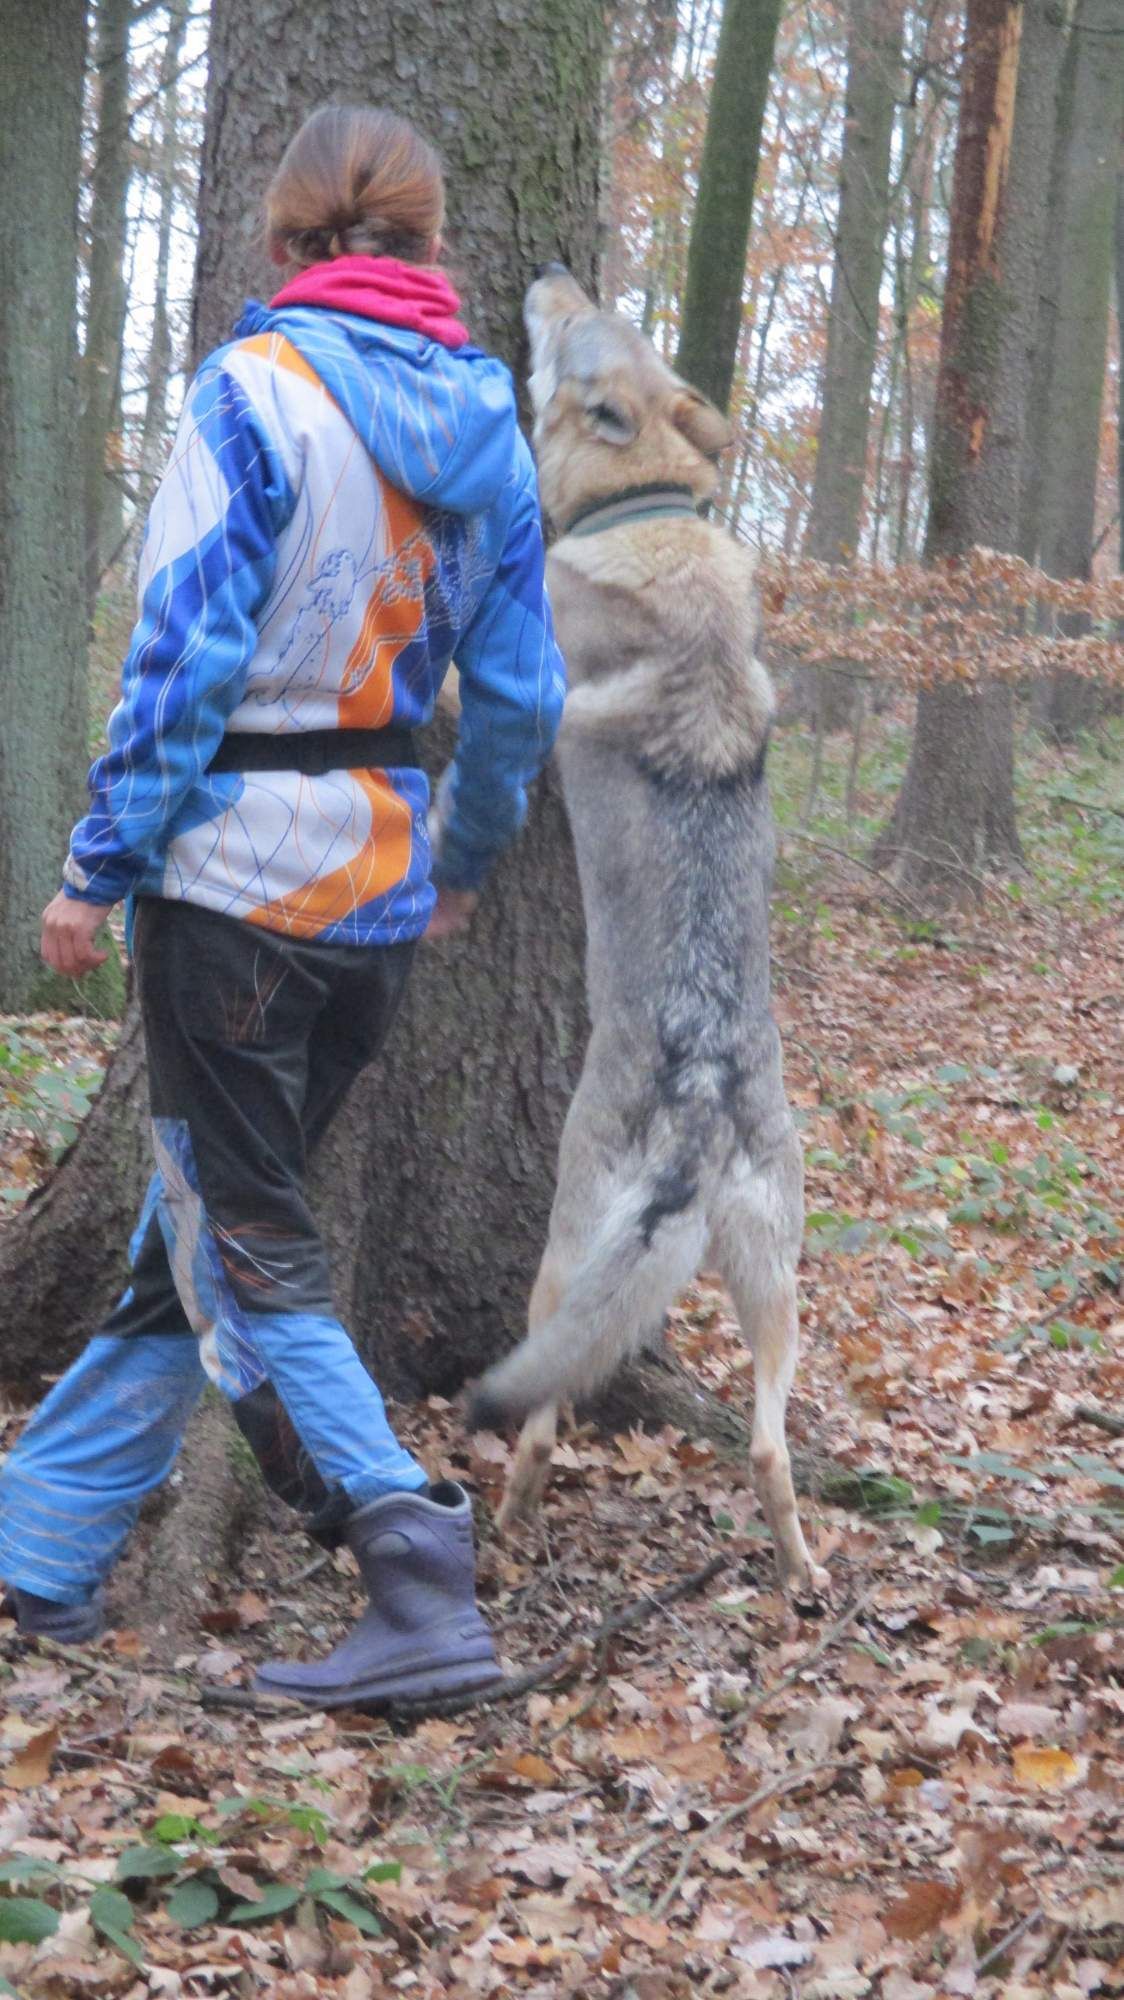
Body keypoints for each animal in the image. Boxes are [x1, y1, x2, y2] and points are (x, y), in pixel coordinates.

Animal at [464, 266, 824, 1600]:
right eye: (596, 306)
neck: (643, 505)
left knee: (537, 1418)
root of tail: (704, 1097)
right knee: (770, 1449)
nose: (551, 272)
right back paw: (802, 1574)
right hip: (778, 1282)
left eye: (570, 331)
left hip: (561, 1261)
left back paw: (507, 1523)